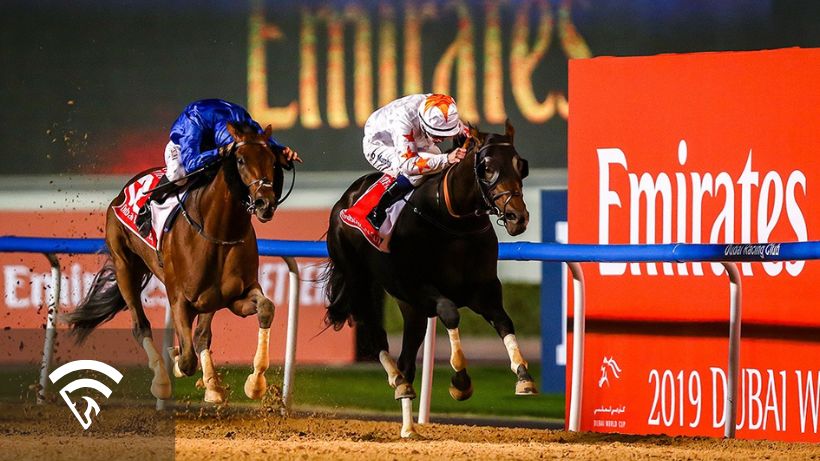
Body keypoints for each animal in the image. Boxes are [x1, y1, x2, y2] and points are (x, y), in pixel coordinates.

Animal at [66, 122, 292, 402]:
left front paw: (254, 383)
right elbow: (186, 360)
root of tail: (122, 192)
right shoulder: (179, 298)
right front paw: (175, 362)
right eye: (240, 160)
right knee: (141, 326)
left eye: (272, 160)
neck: (219, 233)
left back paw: (212, 386)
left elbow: (265, 308)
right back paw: (162, 380)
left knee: (201, 335)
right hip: (124, 265)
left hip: (207, 299)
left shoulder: (235, 295)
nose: (264, 203)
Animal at [324, 120, 536, 436]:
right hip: (359, 280)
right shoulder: (417, 287)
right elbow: (449, 313)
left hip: (409, 308)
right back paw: (397, 381)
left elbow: (504, 322)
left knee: (408, 361)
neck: (452, 221)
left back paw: (409, 427)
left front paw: (523, 376)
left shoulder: (484, 290)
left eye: (520, 165)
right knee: (376, 336)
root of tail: (346, 199)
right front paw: (460, 381)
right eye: (486, 167)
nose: (516, 217)